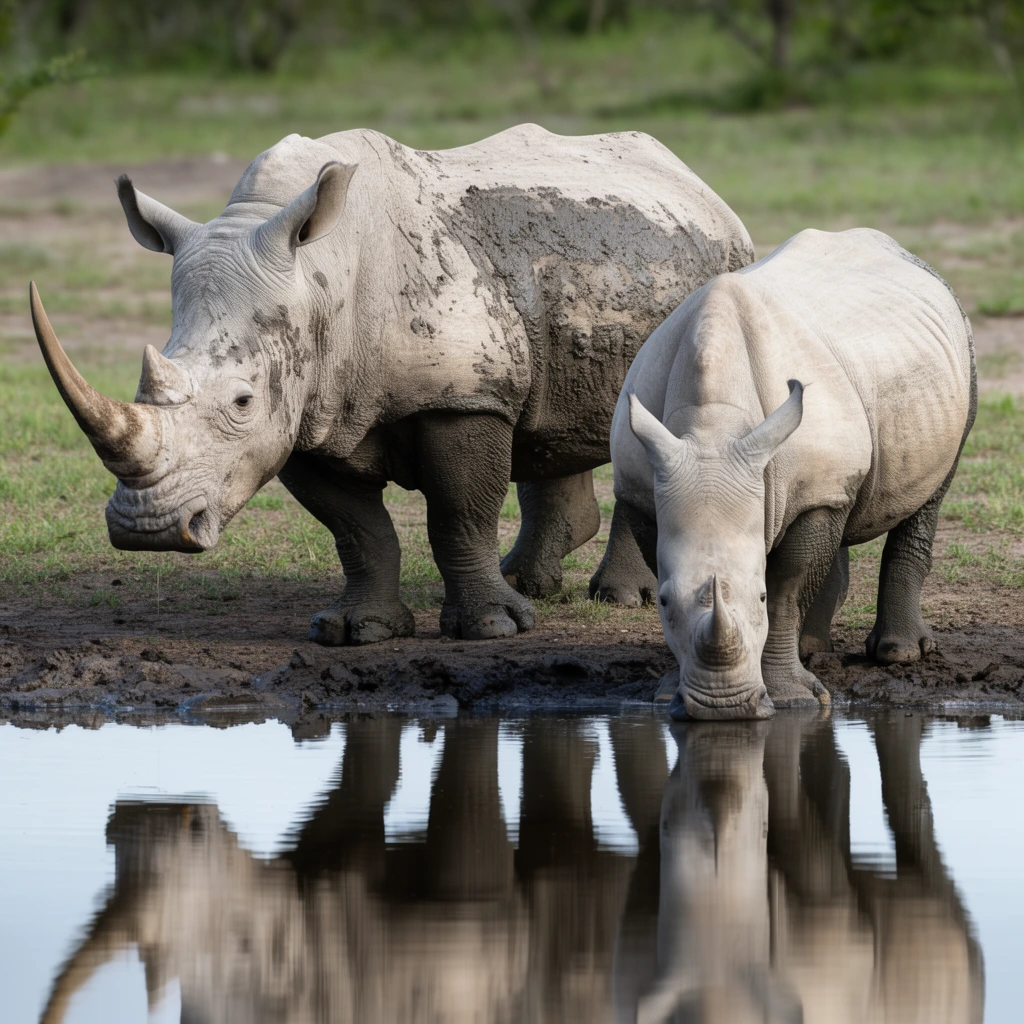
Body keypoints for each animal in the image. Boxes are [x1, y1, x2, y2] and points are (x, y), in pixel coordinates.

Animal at [30, 124, 753, 644]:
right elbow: (356, 529)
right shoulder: (309, 411)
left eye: (240, 401)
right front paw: (356, 631)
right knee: (549, 410)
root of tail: (705, 189)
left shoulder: (460, 398)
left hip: (710, 273)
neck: (319, 276)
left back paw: (619, 598)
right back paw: (530, 584)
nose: (145, 530)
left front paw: (491, 630)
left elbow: (460, 513)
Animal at [613, 228, 976, 719]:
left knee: (930, 492)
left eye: (759, 599)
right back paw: (813, 650)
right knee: (846, 504)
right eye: (664, 599)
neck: (712, 429)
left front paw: (791, 699)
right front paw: (667, 692)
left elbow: (788, 585)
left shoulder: (812, 494)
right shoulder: (642, 491)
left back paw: (899, 654)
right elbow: (663, 563)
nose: (721, 707)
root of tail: (901, 250)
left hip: (961, 352)